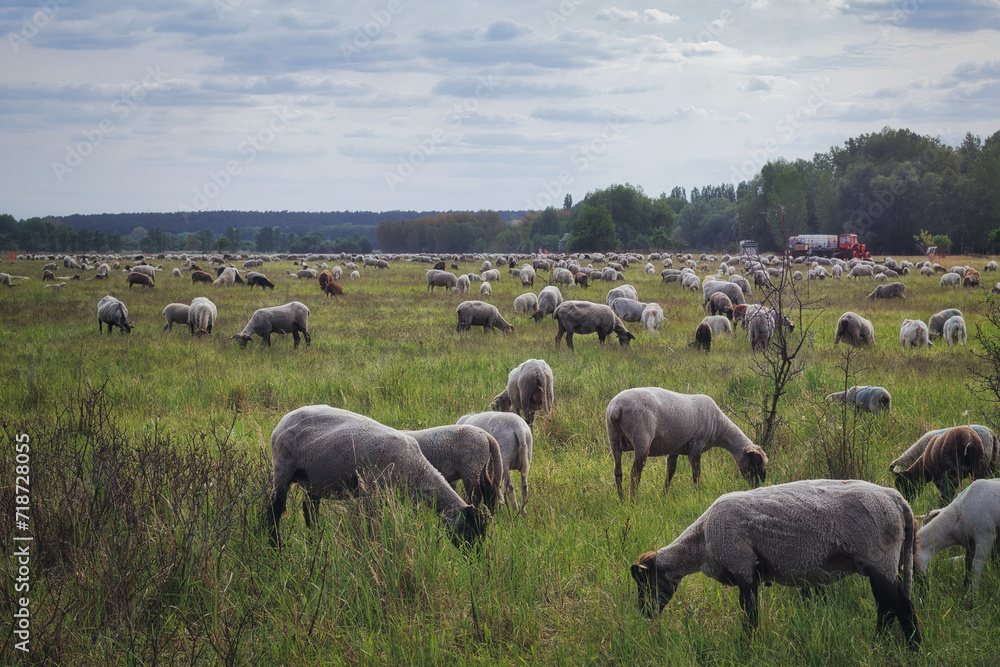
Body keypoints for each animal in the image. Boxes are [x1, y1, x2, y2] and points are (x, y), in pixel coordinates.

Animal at [267, 406, 488, 549]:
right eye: (471, 530)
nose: (474, 557)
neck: (417, 470)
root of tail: (285, 419)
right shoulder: (372, 492)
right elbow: (370, 524)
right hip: (282, 466)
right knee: (275, 508)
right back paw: (274, 546)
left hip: (313, 478)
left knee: (309, 511)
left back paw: (314, 542)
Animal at [606, 388, 767, 500]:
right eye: (755, 462)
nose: (758, 486)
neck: (720, 427)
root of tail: (616, 408)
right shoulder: (697, 445)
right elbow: (696, 472)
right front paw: (697, 492)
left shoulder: (674, 449)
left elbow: (670, 472)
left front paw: (664, 495)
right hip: (641, 438)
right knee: (635, 473)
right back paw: (633, 500)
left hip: (613, 439)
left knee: (618, 472)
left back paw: (621, 499)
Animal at [630, 479, 921, 648]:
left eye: (645, 584)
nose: (644, 614)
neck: (701, 543)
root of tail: (897, 499)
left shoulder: (743, 567)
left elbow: (750, 615)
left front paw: (747, 647)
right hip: (878, 563)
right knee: (888, 607)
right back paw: (885, 644)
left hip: (880, 558)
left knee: (900, 606)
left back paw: (911, 647)